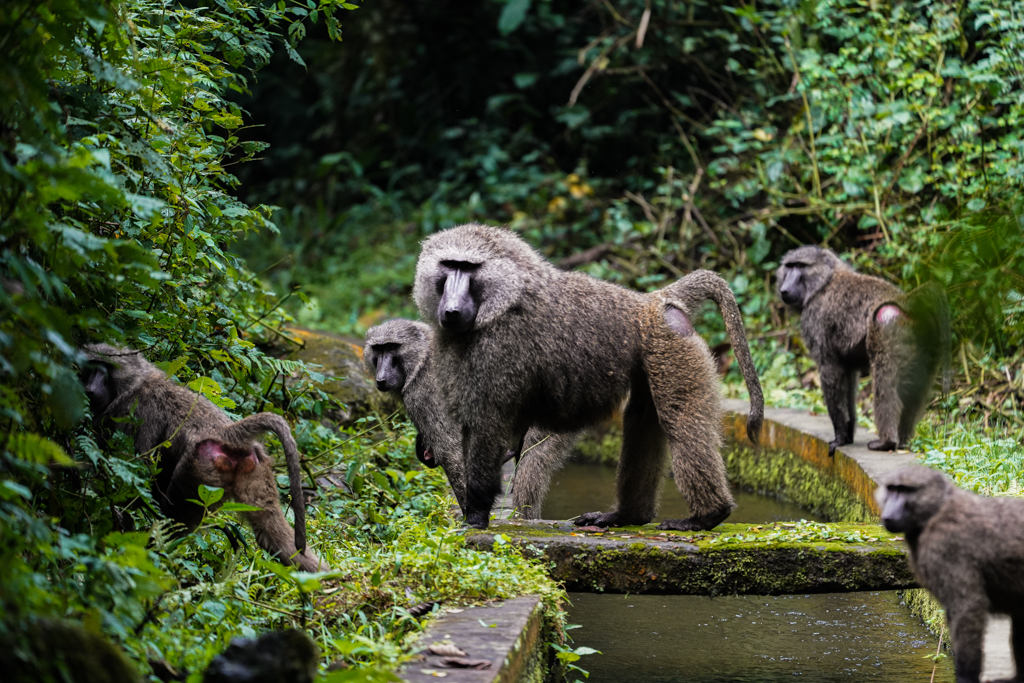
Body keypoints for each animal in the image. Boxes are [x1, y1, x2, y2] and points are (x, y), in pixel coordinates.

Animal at [81, 343, 326, 572]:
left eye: (105, 368)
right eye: (91, 367)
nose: (90, 390)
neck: (138, 380)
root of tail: (227, 432)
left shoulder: (133, 411)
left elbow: (136, 471)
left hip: (198, 472)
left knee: (173, 521)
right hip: (254, 471)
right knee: (275, 538)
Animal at [363, 318, 580, 519]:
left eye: (392, 347)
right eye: (377, 349)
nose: (381, 378)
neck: (421, 358)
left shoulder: (422, 394)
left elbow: (451, 451)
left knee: (531, 459)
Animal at [412, 224, 763, 531]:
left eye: (468, 268)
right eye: (449, 265)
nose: (451, 311)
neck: (506, 299)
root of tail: (651, 303)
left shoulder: (497, 352)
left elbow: (487, 427)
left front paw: (474, 517)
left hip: (672, 348)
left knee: (680, 422)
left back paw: (708, 515)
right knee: (641, 420)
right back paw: (628, 516)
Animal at [776, 246, 950, 455]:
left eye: (800, 266)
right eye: (789, 266)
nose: (784, 289)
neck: (824, 282)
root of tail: (904, 301)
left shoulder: (816, 320)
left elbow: (831, 374)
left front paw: (839, 438)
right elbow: (849, 381)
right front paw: (848, 436)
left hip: (884, 327)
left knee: (886, 386)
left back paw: (887, 442)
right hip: (929, 339)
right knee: (915, 392)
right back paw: (903, 441)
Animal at [876, 464, 1024, 683]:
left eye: (906, 490)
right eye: (892, 489)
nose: (889, 516)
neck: (937, 509)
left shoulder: (945, 546)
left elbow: (968, 608)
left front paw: (966, 677)